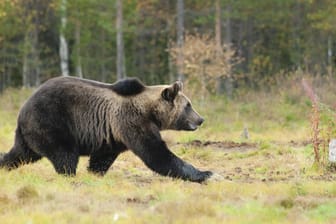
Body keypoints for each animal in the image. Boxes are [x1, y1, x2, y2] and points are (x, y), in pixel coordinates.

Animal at [0, 77, 213, 182]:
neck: (150, 111)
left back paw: (4, 165)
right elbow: (156, 154)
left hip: (30, 134)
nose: (201, 119)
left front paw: (95, 173)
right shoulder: (132, 121)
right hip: (52, 121)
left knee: (20, 153)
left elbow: (102, 158)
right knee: (65, 155)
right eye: (188, 105)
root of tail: (23, 110)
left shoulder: (112, 134)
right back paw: (69, 176)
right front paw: (205, 174)